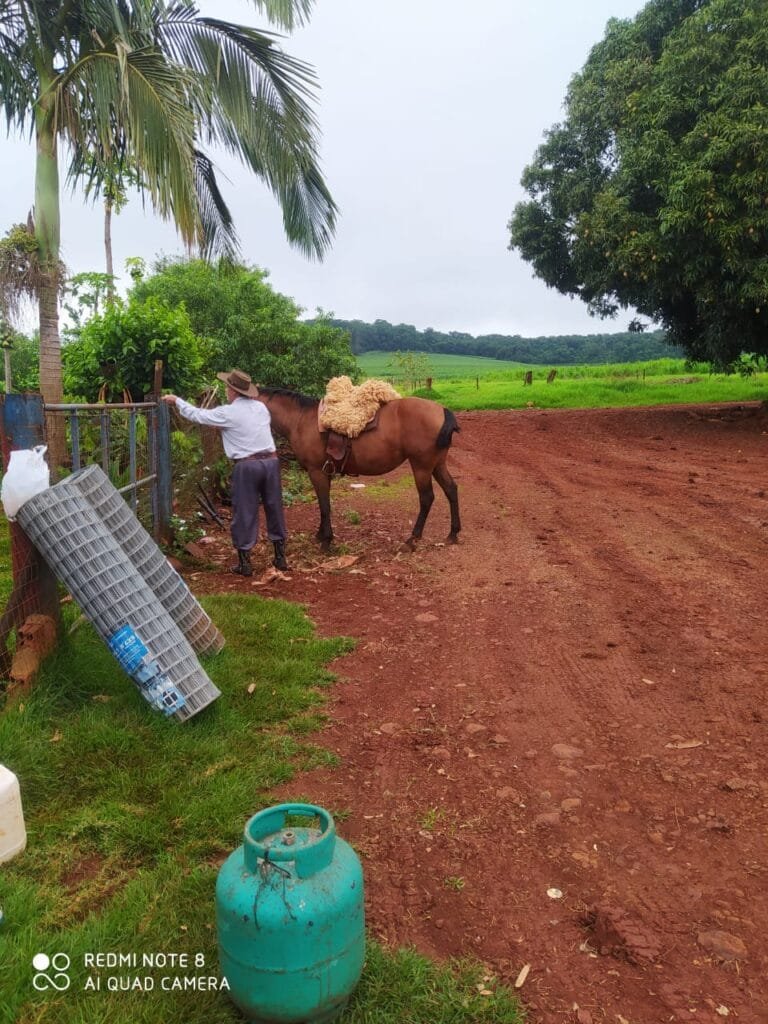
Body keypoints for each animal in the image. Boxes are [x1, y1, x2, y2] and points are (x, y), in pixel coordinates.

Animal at [255, 387, 461, 551]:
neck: (300, 419)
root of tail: (442, 411)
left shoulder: (317, 472)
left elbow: (324, 505)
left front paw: (326, 540)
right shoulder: (325, 472)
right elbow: (324, 504)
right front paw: (321, 535)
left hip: (421, 466)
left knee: (426, 498)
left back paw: (411, 540)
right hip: (437, 464)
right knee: (451, 489)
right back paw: (453, 533)